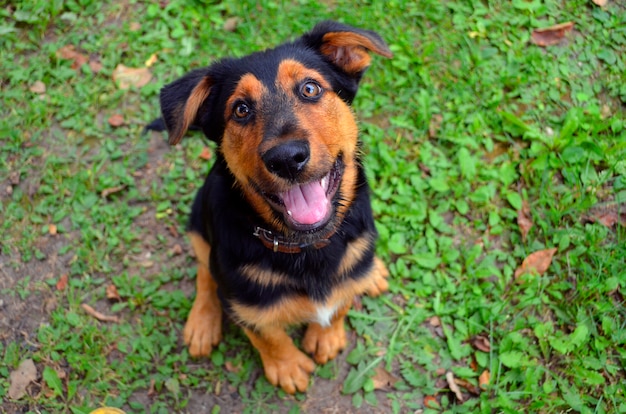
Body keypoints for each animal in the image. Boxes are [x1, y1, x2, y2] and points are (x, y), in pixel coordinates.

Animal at [149, 20, 390, 394]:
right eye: (240, 110)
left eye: (310, 88)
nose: (287, 158)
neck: (306, 247)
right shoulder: (243, 301)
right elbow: (267, 334)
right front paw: (287, 366)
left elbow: (341, 302)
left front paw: (327, 335)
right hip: (198, 218)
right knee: (204, 270)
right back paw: (202, 322)